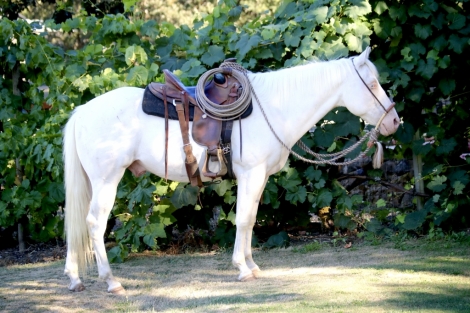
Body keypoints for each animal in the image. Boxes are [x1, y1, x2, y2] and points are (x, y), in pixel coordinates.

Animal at [63, 47, 400, 292]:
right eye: (372, 84)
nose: (394, 121)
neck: (275, 108)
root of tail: (81, 112)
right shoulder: (251, 173)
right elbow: (244, 220)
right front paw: (242, 269)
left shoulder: (259, 177)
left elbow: (249, 220)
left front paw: (251, 266)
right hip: (107, 179)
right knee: (94, 223)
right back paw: (111, 282)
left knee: (78, 222)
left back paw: (75, 279)